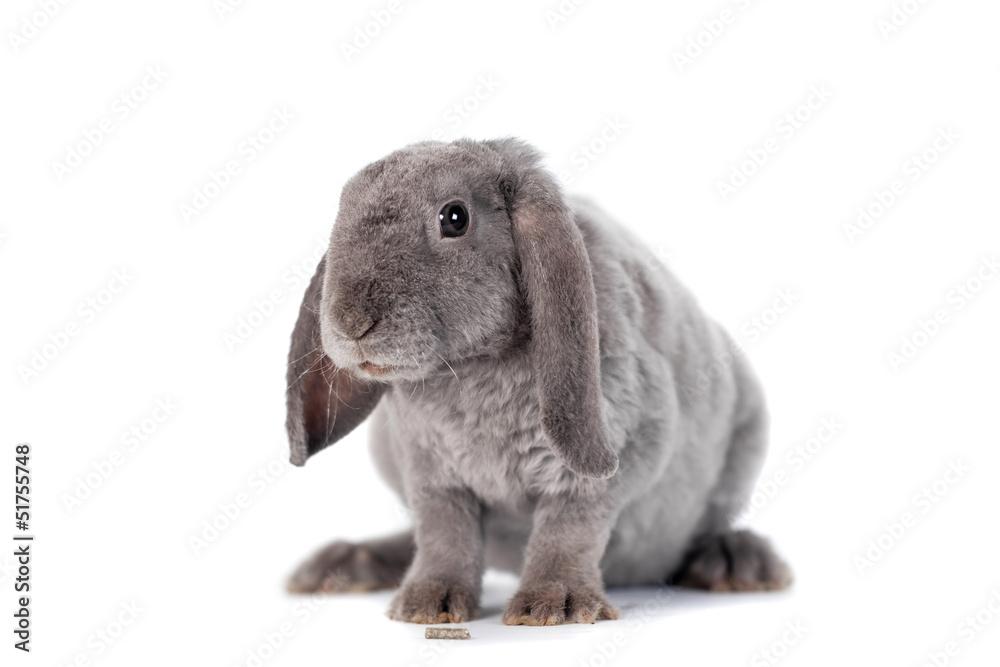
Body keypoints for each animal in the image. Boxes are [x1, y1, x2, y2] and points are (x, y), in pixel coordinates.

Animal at [284, 137, 792, 626]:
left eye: (454, 218)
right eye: (341, 211)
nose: (349, 323)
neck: (473, 370)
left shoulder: (610, 456)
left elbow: (570, 526)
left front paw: (554, 605)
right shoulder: (433, 478)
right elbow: (444, 534)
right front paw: (427, 603)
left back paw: (737, 563)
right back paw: (344, 564)